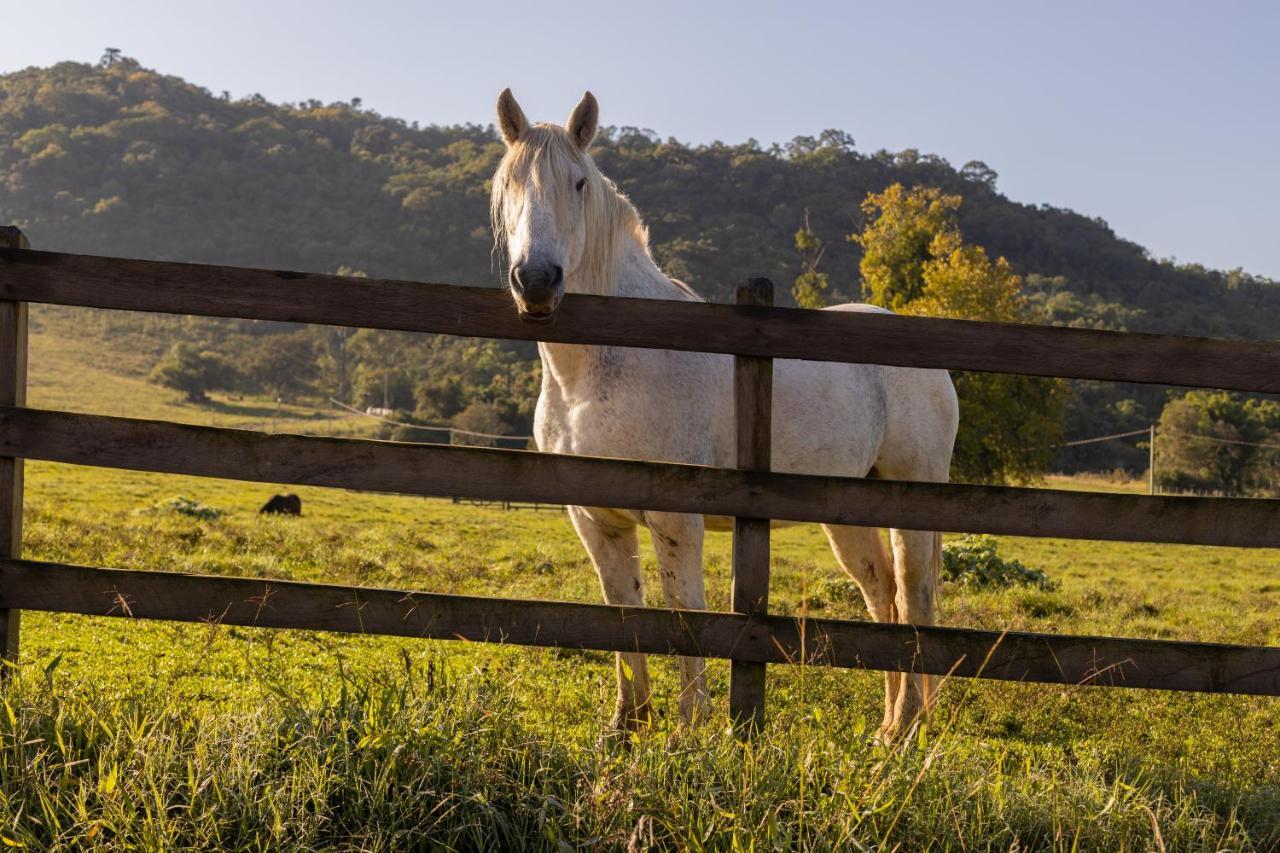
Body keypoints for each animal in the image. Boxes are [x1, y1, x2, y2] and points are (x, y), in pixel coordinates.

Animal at [488, 89, 962, 732]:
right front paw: (627, 725)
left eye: (578, 183)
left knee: (913, 599)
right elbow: (623, 612)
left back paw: (904, 730)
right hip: (848, 514)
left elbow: (683, 612)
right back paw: (890, 725)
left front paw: (689, 725)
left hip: (911, 499)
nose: (536, 281)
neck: (596, 374)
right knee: (883, 597)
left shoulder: (674, 519)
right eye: (508, 182)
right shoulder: (596, 519)